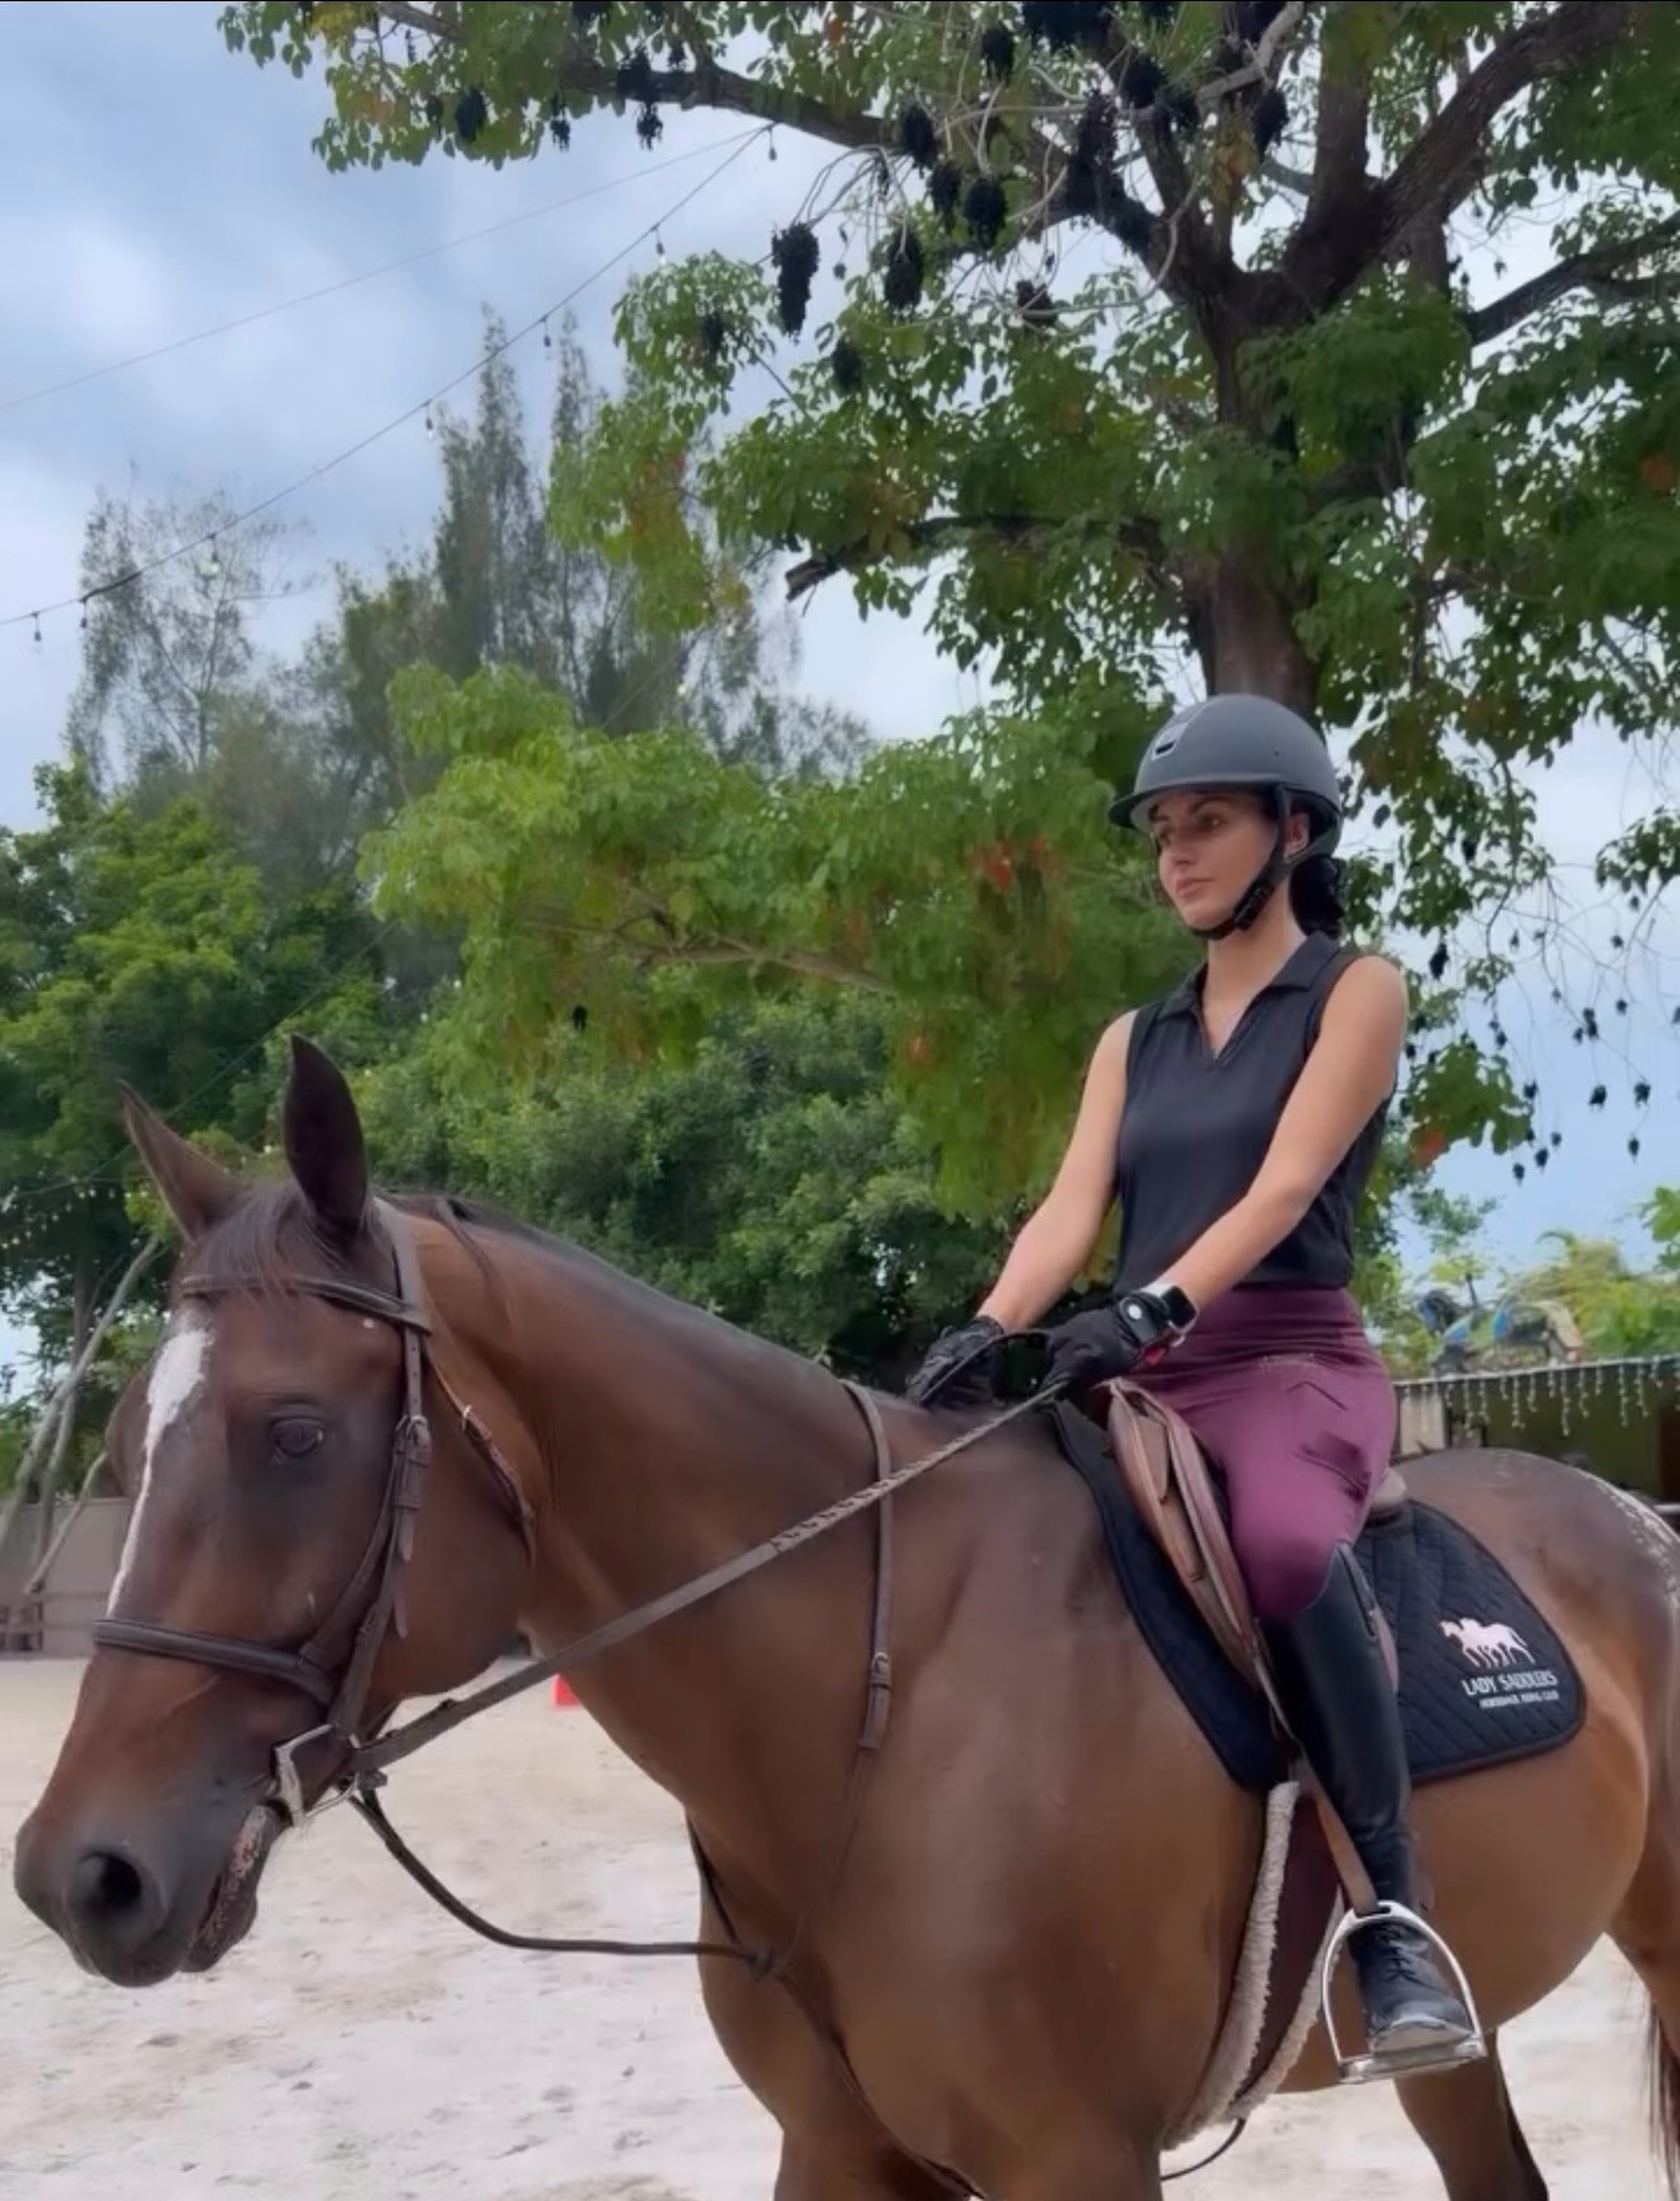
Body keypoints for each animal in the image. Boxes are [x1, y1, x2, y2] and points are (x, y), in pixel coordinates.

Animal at [15, 1035, 1680, 2201]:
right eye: (122, 1449)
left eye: (294, 1434)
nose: (78, 1877)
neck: (876, 1714)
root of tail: (1629, 1512)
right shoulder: (836, 2150)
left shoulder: (1075, 2154)